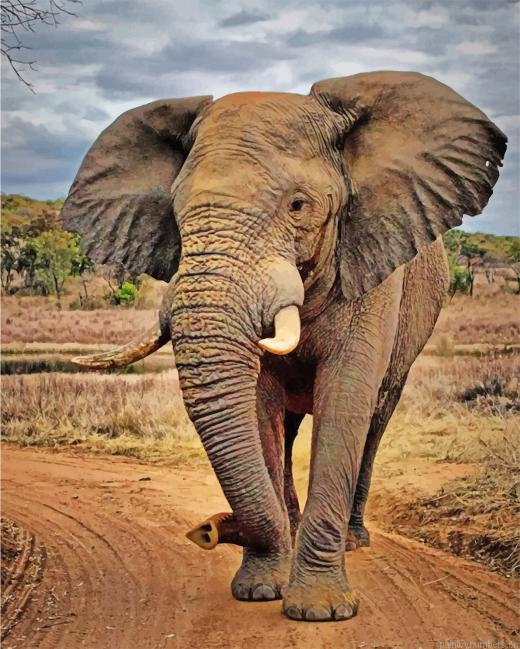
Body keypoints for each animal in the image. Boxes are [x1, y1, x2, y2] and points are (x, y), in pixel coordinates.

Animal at [62, 71, 506, 622]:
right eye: (176, 214)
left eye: (298, 206)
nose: (206, 531)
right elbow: (259, 406)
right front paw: (260, 588)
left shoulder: (372, 261)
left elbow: (346, 401)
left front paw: (320, 610)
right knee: (290, 427)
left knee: (376, 420)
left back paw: (353, 539)